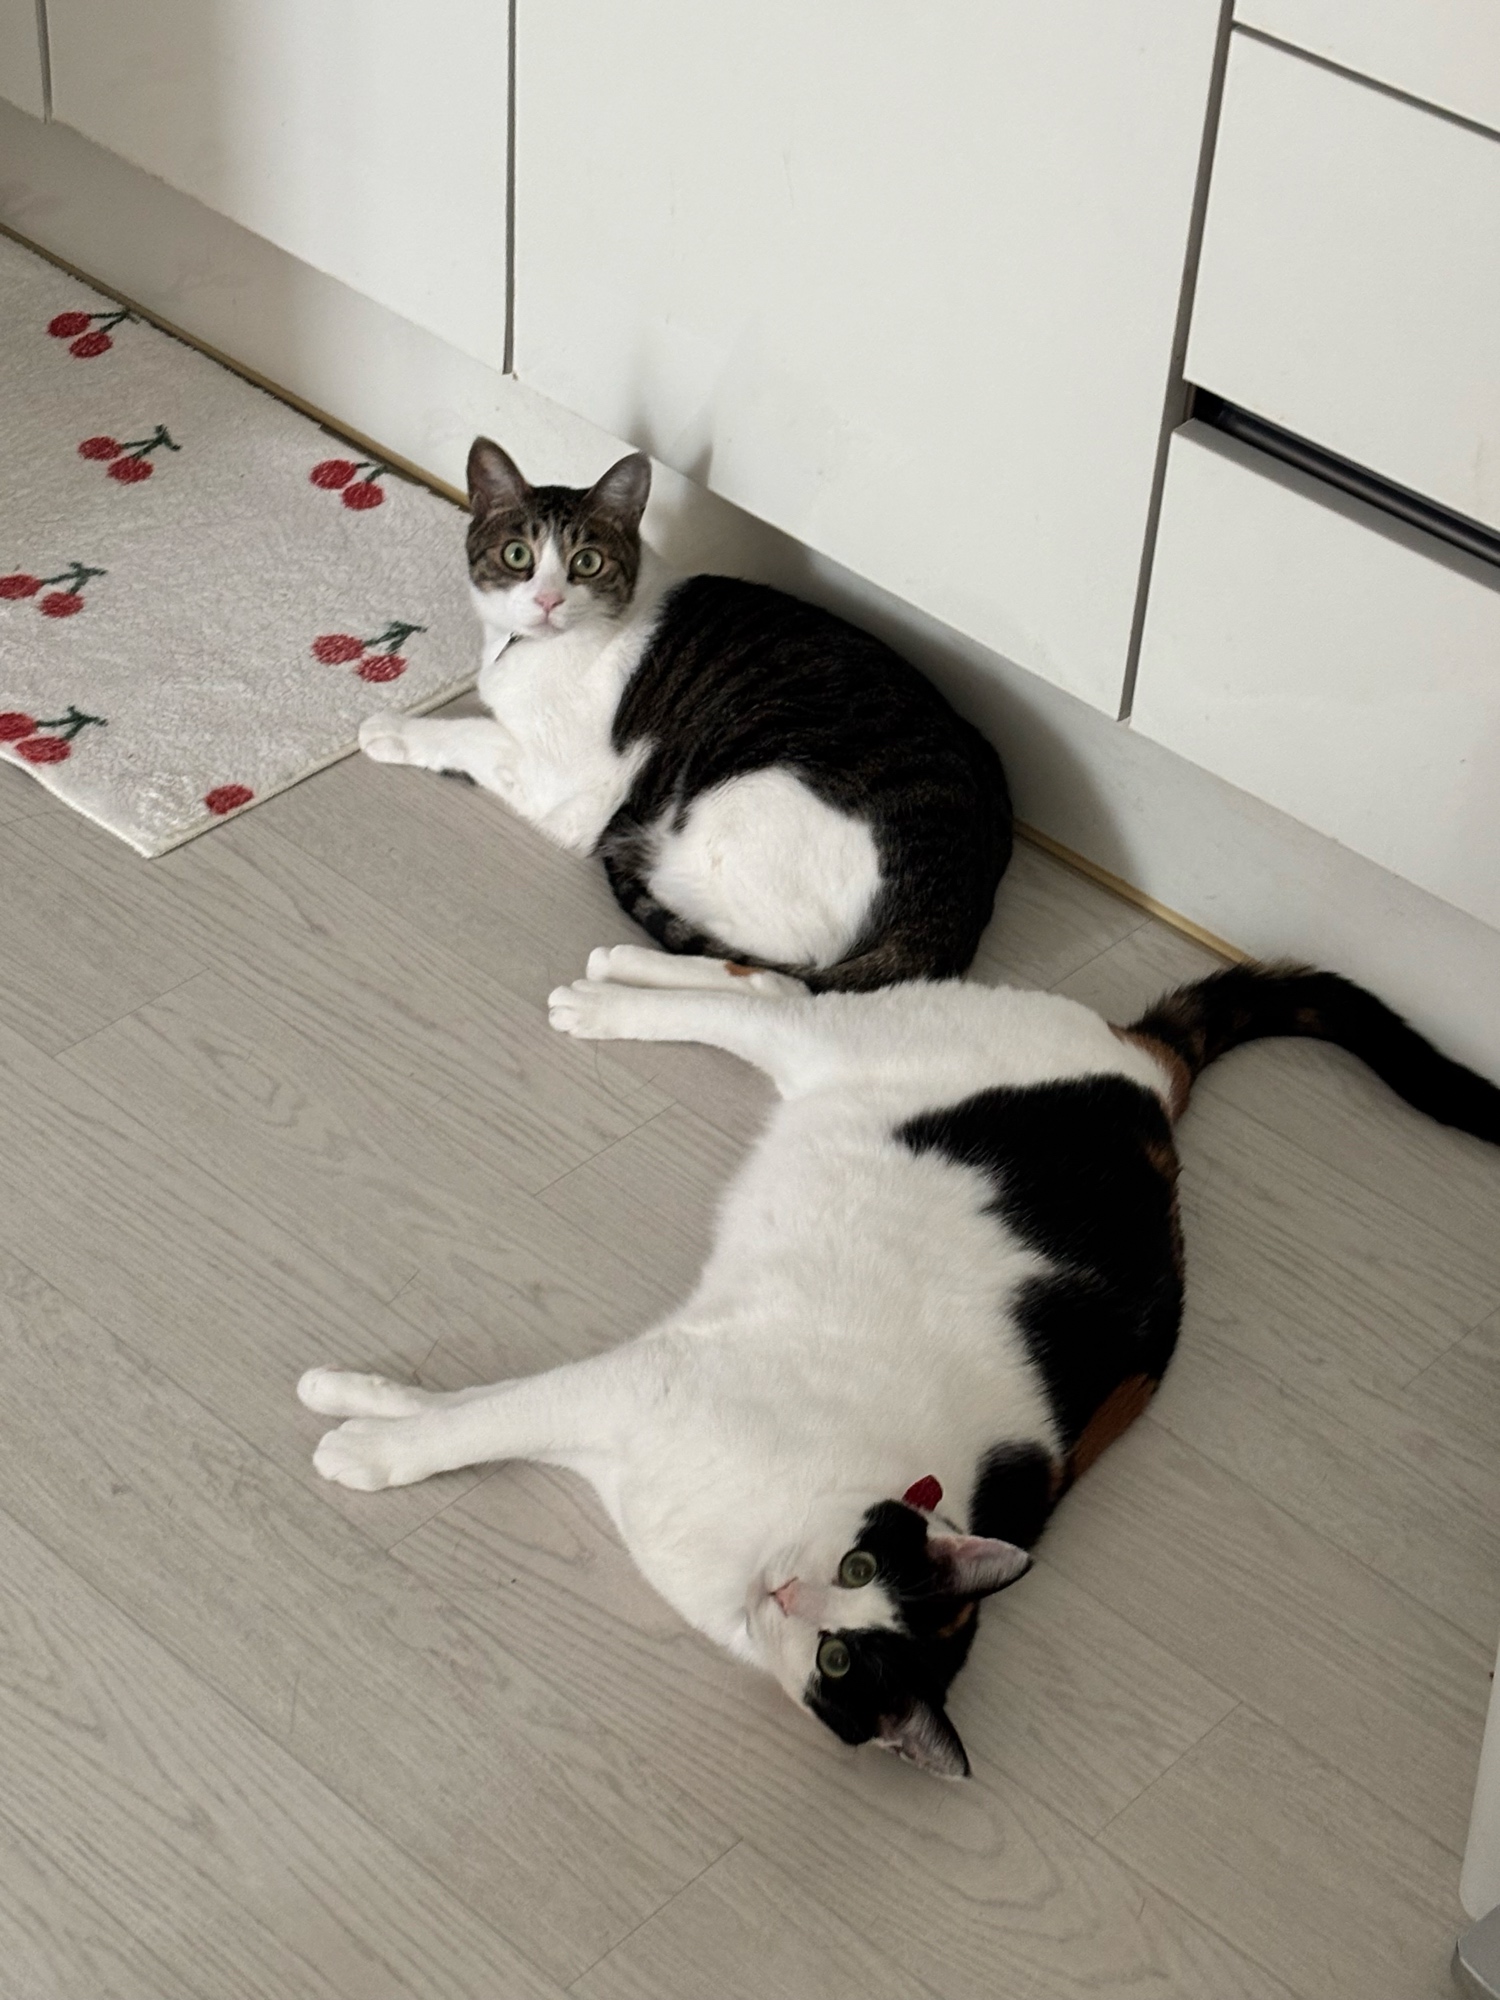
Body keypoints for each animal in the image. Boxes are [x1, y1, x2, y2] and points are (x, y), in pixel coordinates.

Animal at [298, 949, 1500, 1777]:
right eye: (858, 1568)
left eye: (842, 1665)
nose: (791, 1594)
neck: (754, 1544)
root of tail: (1150, 1077)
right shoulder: (645, 1381)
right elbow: (474, 1419)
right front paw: (363, 1439)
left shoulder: (621, 1413)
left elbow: (479, 1407)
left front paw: (362, 1414)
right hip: (863, 1043)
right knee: (767, 1004)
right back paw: (611, 997)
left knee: (771, 981)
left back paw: (620, 970)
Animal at [356, 440, 1013, 989]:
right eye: (518, 555)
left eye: (587, 563)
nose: (546, 601)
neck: (522, 648)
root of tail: (947, 917)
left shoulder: (568, 783)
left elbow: (474, 733)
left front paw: (391, 729)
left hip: (724, 807)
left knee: (765, 960)